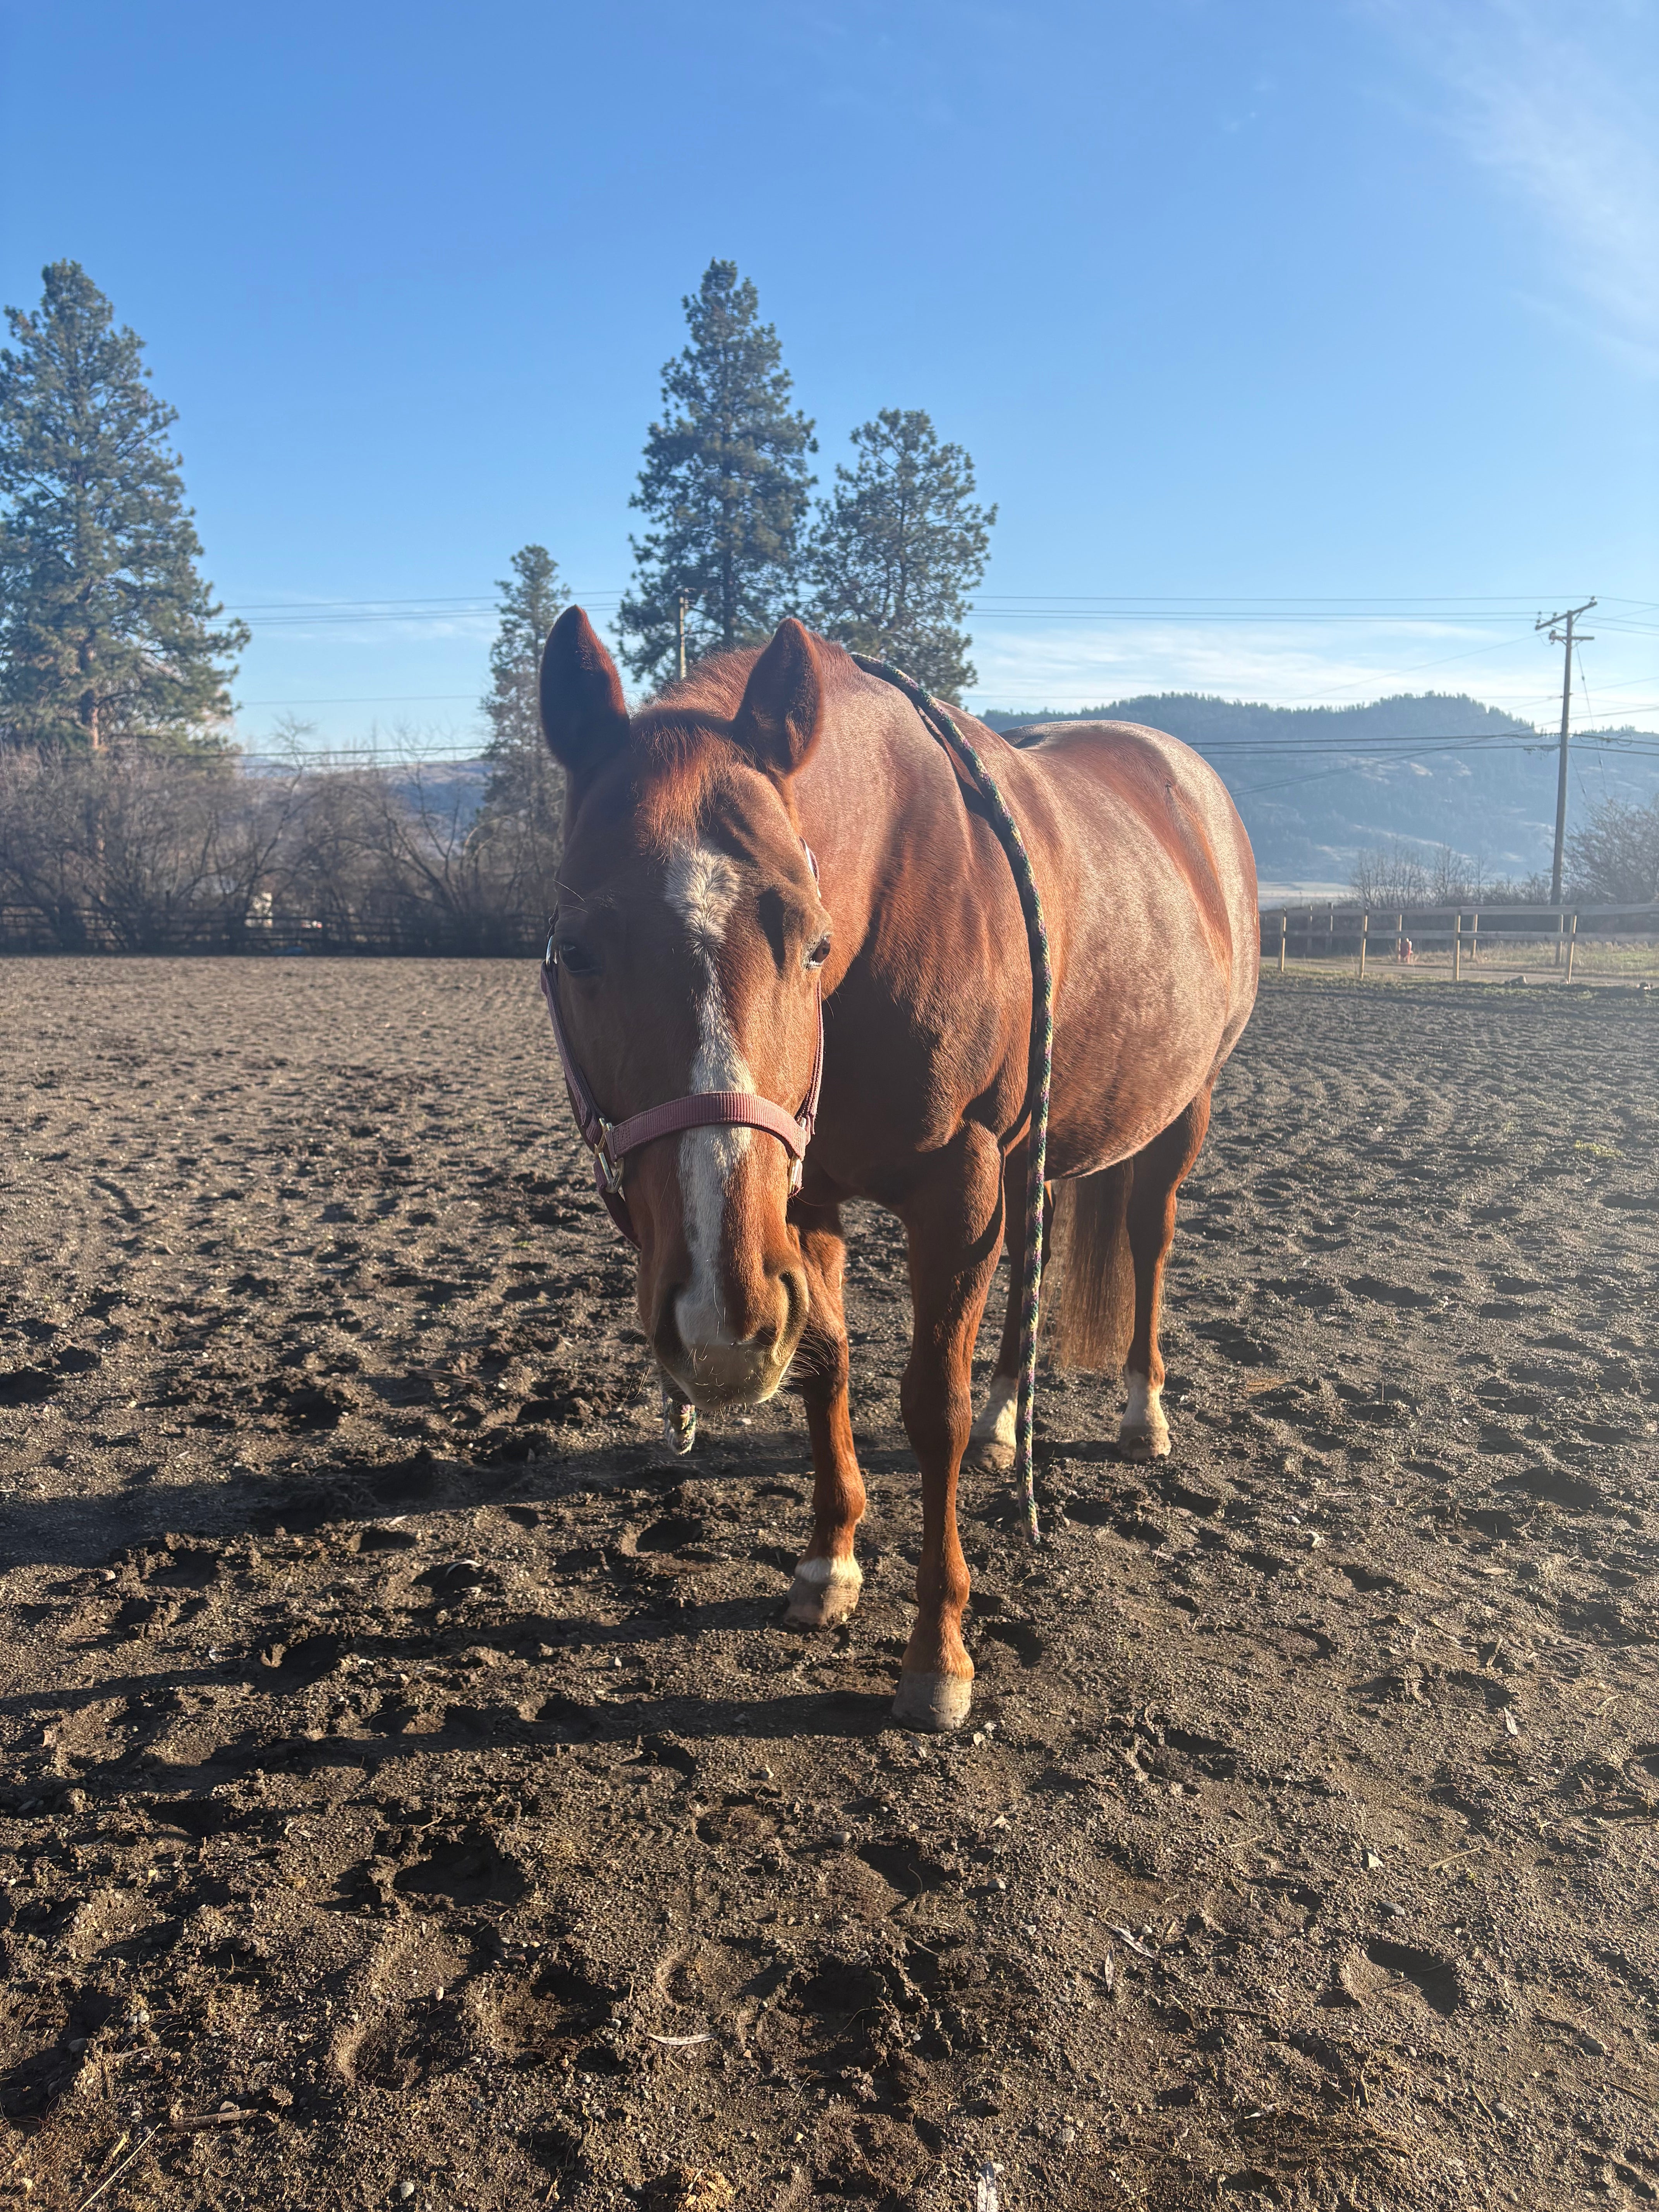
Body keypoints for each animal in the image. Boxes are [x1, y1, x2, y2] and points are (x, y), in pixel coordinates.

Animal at [537, 609, 1258, 1731]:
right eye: (575, 951)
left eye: (809, 943)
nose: (716, 1327)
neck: (888, 903)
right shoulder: (801, 1199)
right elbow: (826, 1363)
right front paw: (829, 1565)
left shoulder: (955, 1189)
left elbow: (932, 1410)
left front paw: (938, 1652)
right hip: (1034, 1146)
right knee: (1034, 1264)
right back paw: (1012, 1420)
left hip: (1183, 1108)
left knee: (1148, 1241)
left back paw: (1142, 1410)